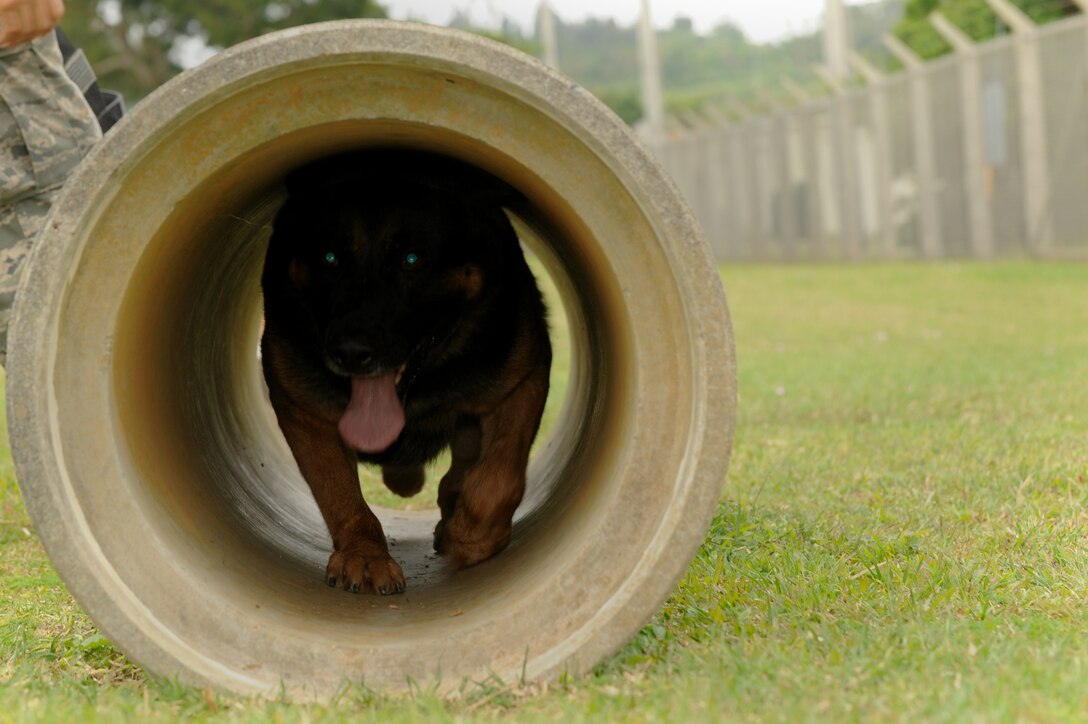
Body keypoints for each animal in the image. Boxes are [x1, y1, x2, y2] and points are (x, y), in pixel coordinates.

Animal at [258, 151, 548, 592]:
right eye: (329, 258)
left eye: (412, 260)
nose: (351, 353)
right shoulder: (302, 408)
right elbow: (338, 491)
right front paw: (364, 553)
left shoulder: (523, 381)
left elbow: (499, 479)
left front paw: (471, 539)